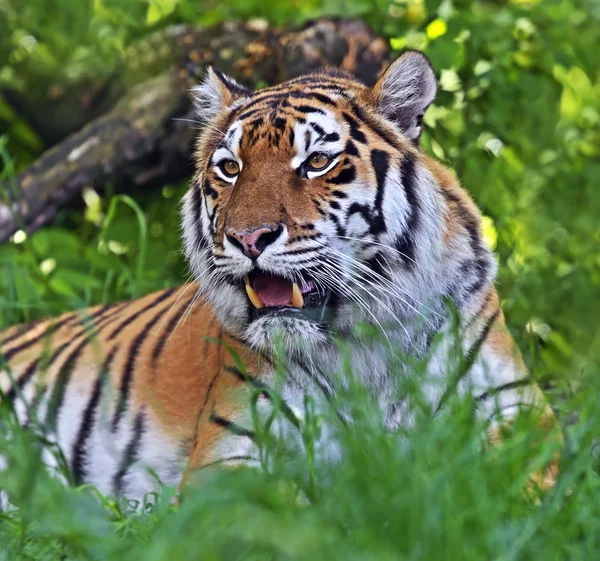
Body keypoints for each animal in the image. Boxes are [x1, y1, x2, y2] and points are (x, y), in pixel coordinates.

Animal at [1, 51, 564, 498]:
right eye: (230, 168)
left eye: (316, 161)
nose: (248, 238)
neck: (366, 342)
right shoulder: (232, 451)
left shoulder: (518, 417)